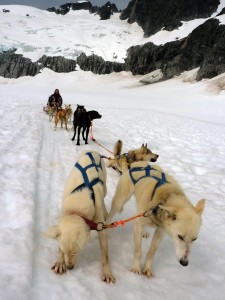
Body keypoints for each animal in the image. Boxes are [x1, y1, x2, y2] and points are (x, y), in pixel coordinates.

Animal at [43, 151, 115, 282]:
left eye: (76, 251)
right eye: (64, 251)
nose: (70, 267)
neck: (76, 209)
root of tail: (92, 151)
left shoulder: (100, 227)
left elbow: (105, 254)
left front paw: (107, 272)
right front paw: (60, 262)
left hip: (105, 187)